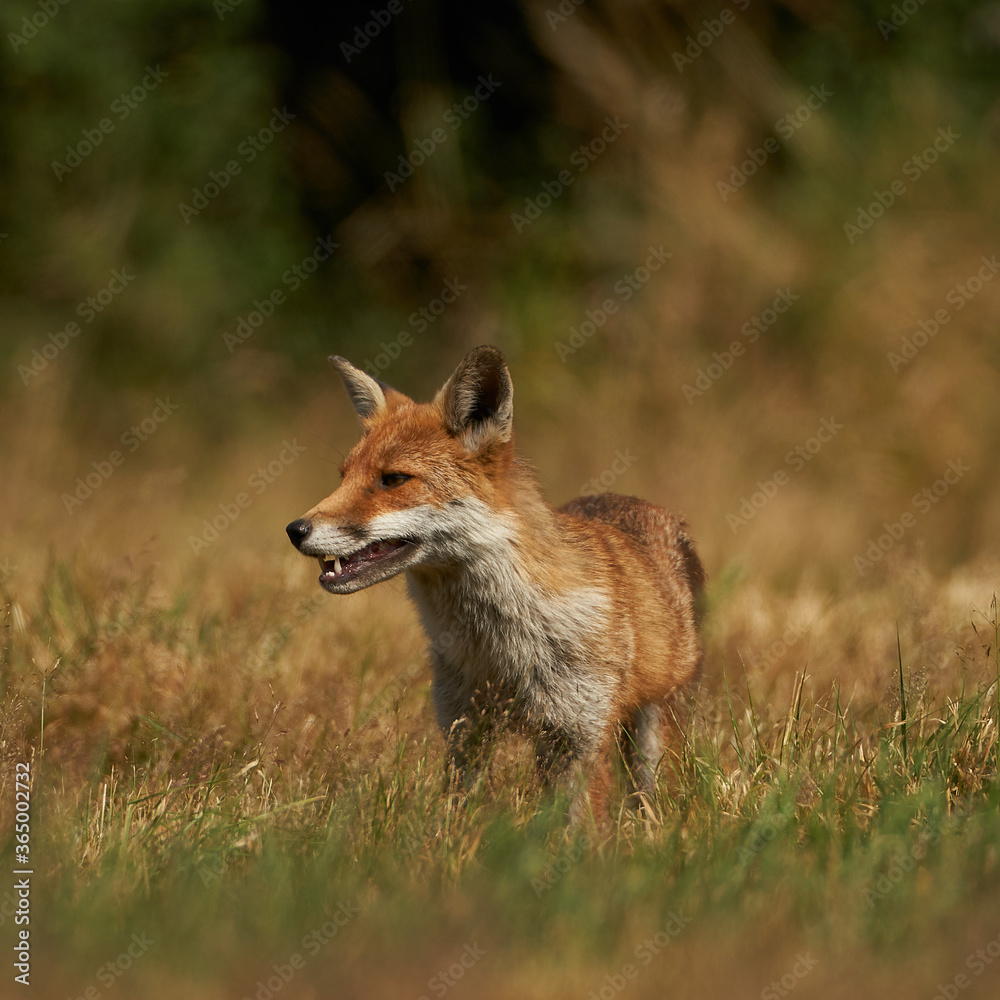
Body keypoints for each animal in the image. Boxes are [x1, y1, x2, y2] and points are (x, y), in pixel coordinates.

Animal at [285, 345, 705, 821]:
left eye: (393, 480)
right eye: (344, 477)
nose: (295, 530)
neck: (500, 648)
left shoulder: (579, 734)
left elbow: (580, 828)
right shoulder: (464, 728)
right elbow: (462, 815)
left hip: (654, 726)